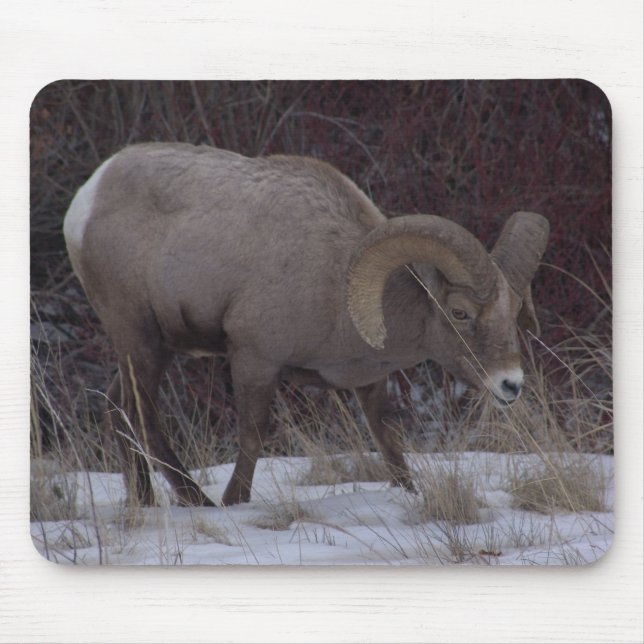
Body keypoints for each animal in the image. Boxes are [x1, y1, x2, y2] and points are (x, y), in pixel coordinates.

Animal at [63, 142, 549, 507]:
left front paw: (409, 494)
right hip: (140, 339)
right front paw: (234, 503)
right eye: (460, 312)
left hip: (147, 347)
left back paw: (144, 503)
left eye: (512, 309)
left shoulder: (368, 383)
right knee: (142, 416)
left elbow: (389, 443)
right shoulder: (254, 360)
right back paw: (198, 501)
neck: (337, 276)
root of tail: (86, 199)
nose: (511, 384)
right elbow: (253, 437)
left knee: (117, 407)